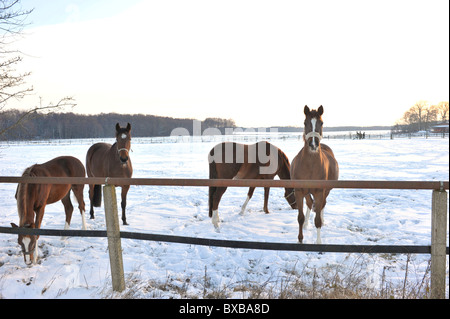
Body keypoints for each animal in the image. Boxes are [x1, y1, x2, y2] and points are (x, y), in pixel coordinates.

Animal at [292, 106, 338, 244]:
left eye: (321, 123)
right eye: (305, 122)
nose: (313, 144)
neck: (310, 166)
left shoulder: (319, 192)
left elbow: (317, 219)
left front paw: (318, 242)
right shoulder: (299, 191)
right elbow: (300, 217)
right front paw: (300, 240)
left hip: (325, 192)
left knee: (322, 205)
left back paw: (322, 220)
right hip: (307, 192)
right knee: (309, 204)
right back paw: (306, 224)